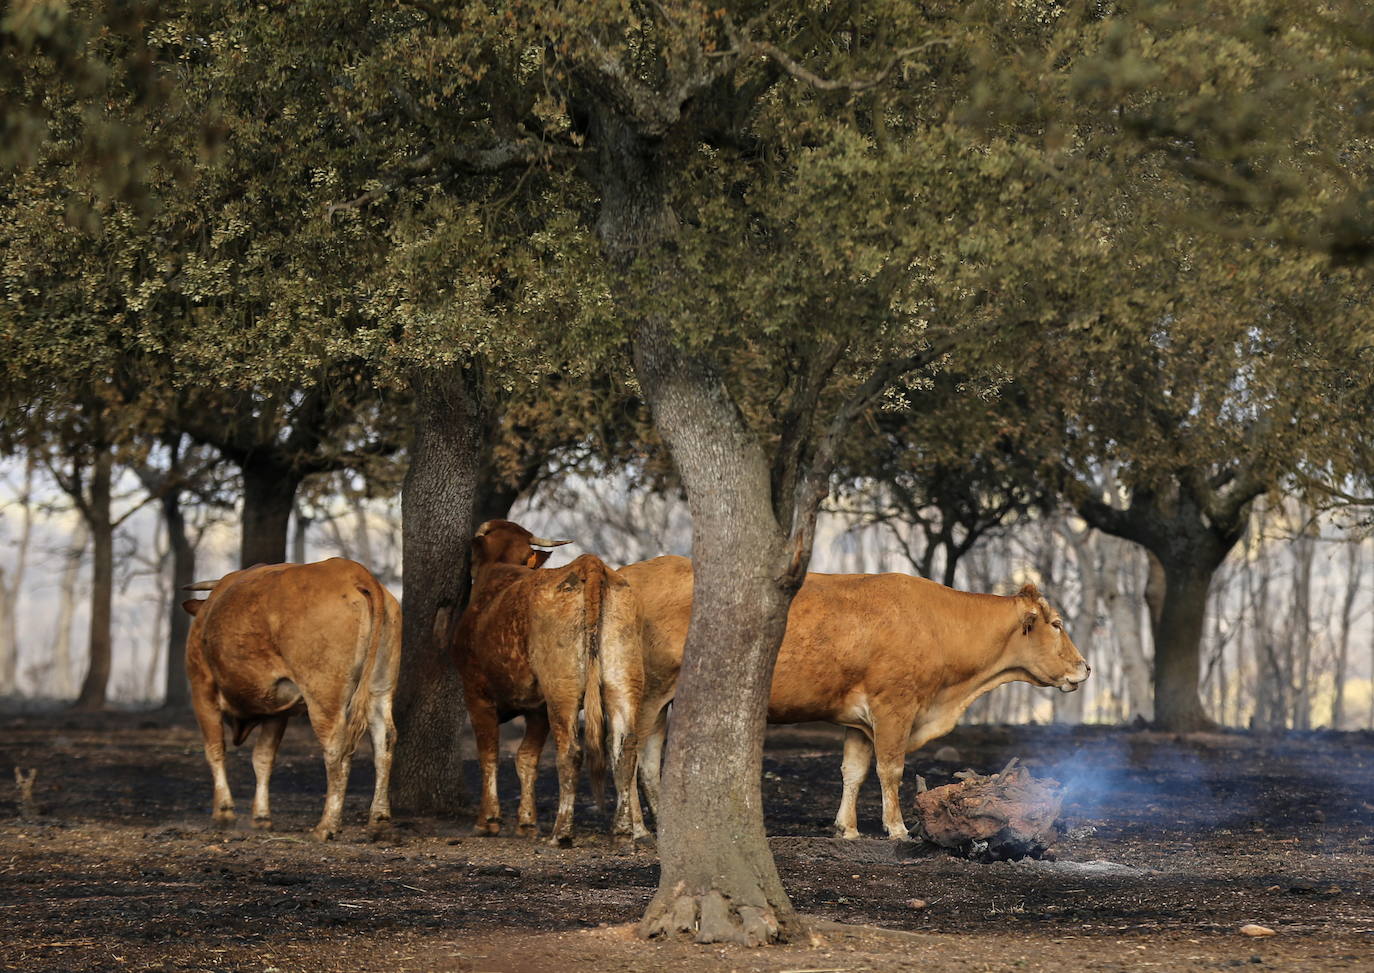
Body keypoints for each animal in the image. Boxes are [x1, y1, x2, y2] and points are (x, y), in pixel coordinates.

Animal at [182, 557, 401, 841]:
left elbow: (215, 750)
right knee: (384, 739)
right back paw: (379, 820)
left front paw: (223, 813)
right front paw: (261, 817)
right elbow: (263, 758)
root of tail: (354, 572)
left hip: (323, 695)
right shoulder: (276, 710)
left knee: (336, 745)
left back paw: (327, 825)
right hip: (380, 686)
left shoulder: (202, 689)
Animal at [450, 519, 643, 846]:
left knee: (571, 752)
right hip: (623, 683)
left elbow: (489, 755)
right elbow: (526, 759)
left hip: (561, 693)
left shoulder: (476, 694)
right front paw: (527, 822)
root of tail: (588, 565)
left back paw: (561, 831)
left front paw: (487, 820)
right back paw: (622, 831)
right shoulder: (536, 707)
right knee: (625, 750)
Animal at [618, 557, 1088, 841]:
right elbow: (890, 769)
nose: (1085, 668)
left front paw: (847, 827)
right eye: (1057, 624)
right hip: (646, 692)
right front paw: (897, 827)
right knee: (631, 753)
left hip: (663, 702)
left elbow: (854, 771)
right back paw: (636, 828)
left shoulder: (859, 720)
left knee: (650, 760)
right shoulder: (894, 707)